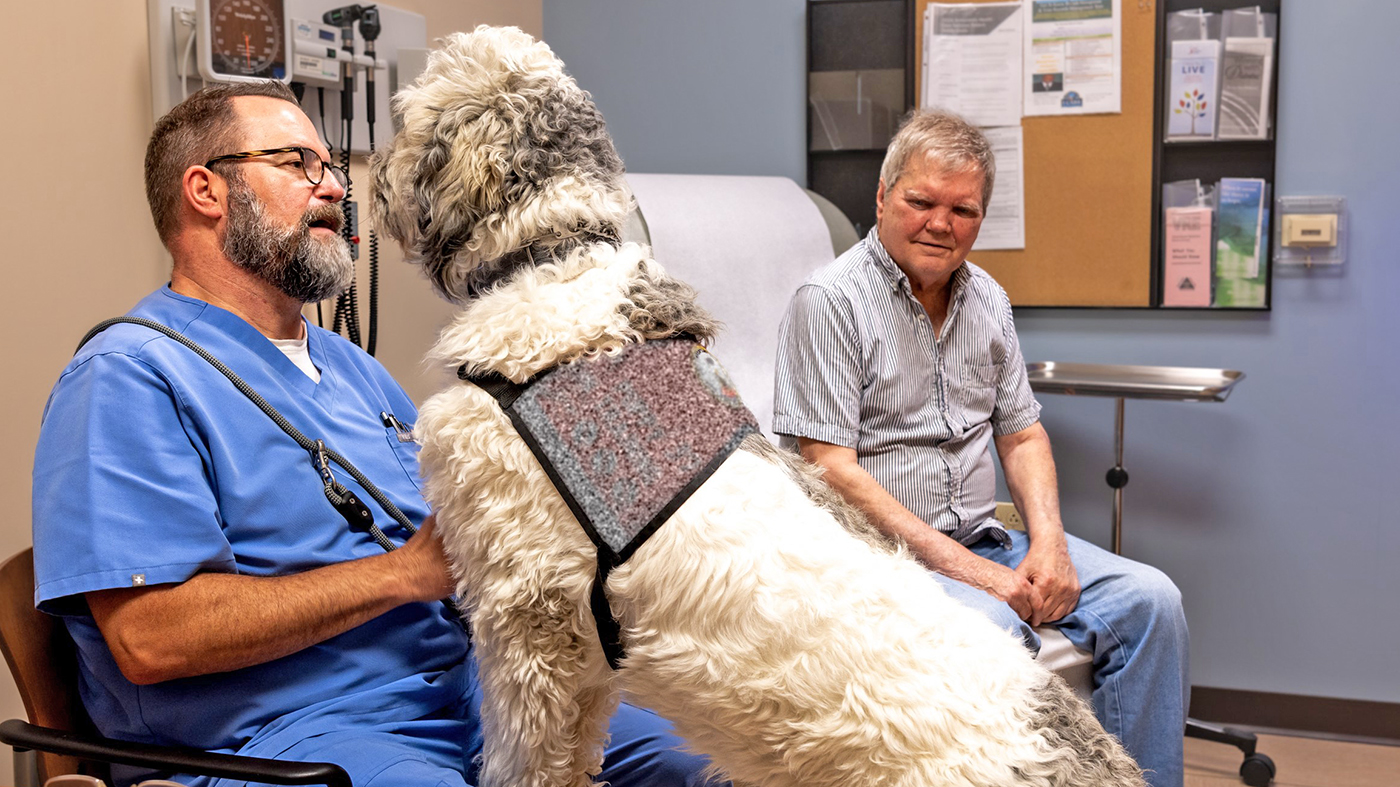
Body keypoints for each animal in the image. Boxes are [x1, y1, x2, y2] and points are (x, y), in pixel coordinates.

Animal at [369, 21, 1148, 784]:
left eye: (407, 107)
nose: (368, 177)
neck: (555, 256)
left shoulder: (526, 617)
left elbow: (525, 754)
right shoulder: (577, 657)